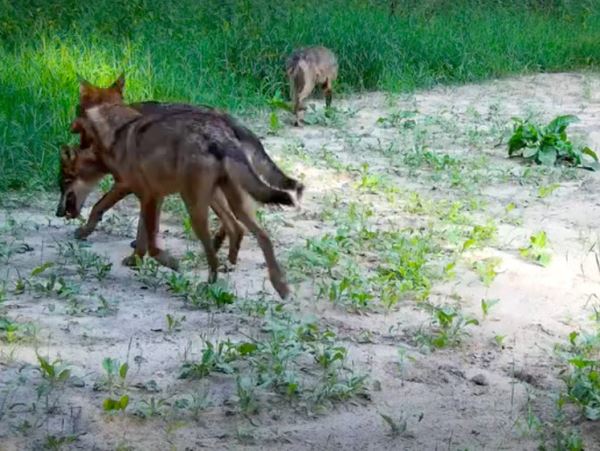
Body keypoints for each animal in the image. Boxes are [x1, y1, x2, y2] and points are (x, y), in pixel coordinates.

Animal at [71, 76, 296, 298]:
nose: (77, 145)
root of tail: (227, 123)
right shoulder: (150, 194)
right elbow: (143, 230)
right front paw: (137, 256)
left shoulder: (135, 189)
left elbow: (101, 208)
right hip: (223, 198)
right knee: (245, 229)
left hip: (200, 202)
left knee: (230, 231)